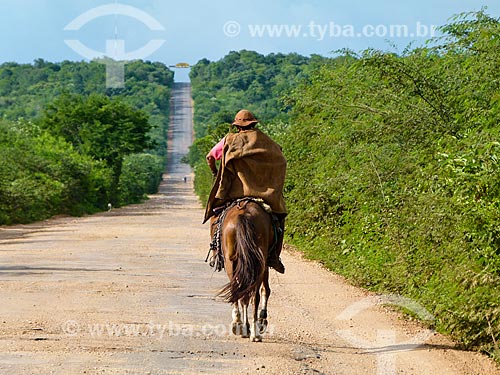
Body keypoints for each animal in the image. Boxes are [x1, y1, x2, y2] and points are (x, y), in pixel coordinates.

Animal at [218, 200, 274, 344]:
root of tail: (243, 214)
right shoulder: (264, 263)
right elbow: (265, 290)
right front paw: (262, 321)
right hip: (258, 261)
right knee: (253, 295)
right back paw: (254, 331)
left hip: (231, 260)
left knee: (239, 290)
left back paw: (239, 325)